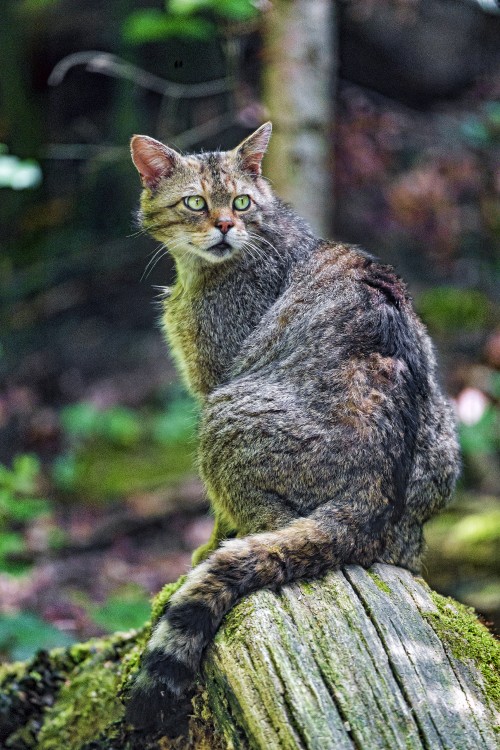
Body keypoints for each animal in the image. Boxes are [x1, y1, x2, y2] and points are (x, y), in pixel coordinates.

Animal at [126, 123, 460, 736]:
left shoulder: (214, 380)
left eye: (239, 203)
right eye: (195, 203)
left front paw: (204, 549)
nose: (224, 226)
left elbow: (218, 522)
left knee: (263, 527)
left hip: (225, 417)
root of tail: (371, 496)